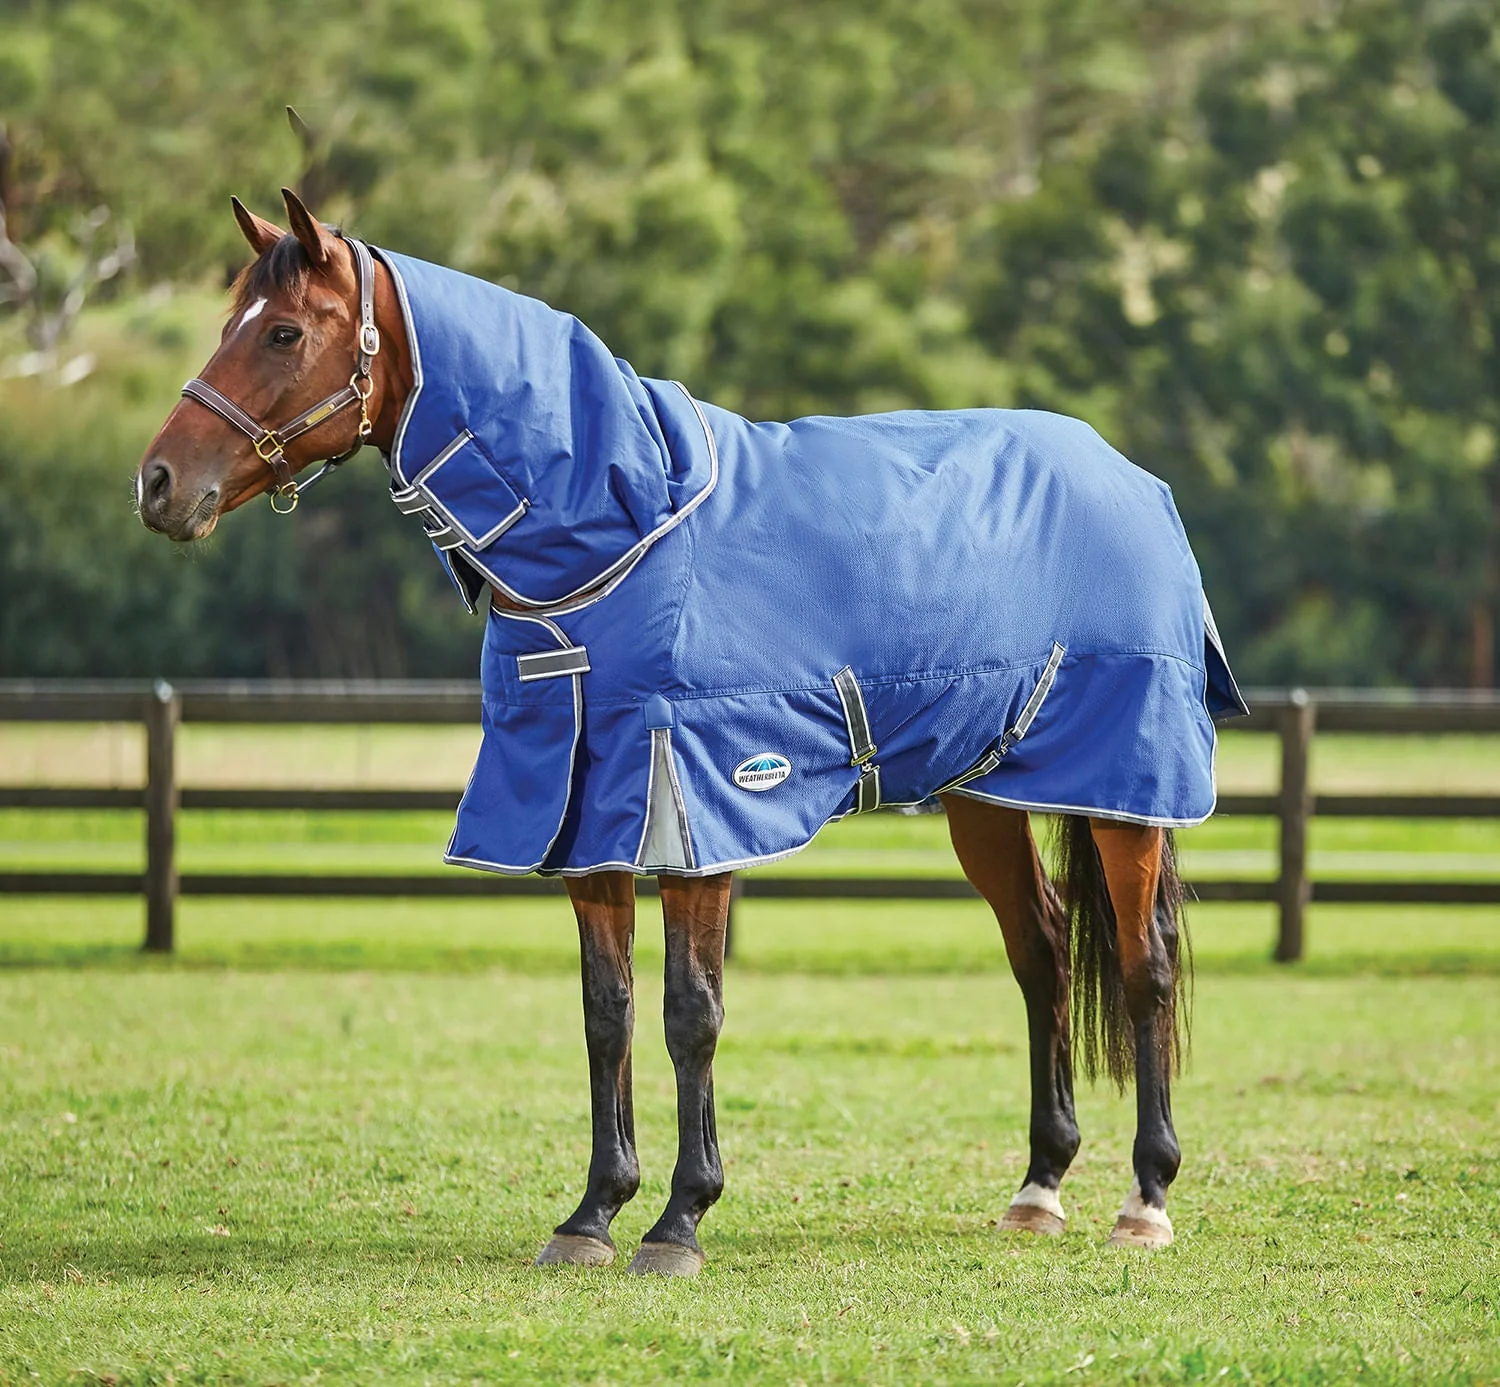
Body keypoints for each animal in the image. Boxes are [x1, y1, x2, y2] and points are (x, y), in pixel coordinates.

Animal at [136, 187, 1246, 1277]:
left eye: (283, 331)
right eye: (230, 320)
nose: (156, 483)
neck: (621, 533)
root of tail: (1131, 477)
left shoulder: (696, 805)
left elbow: (690, 1011)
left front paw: (679, 1220)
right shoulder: (585, 814)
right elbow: (608, 1012)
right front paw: (591, 1214)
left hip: (1125, 789)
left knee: (1143, 965)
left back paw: (1144, 1199)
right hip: (987, 795)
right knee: (1043, 952)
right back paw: (1038, 1187)